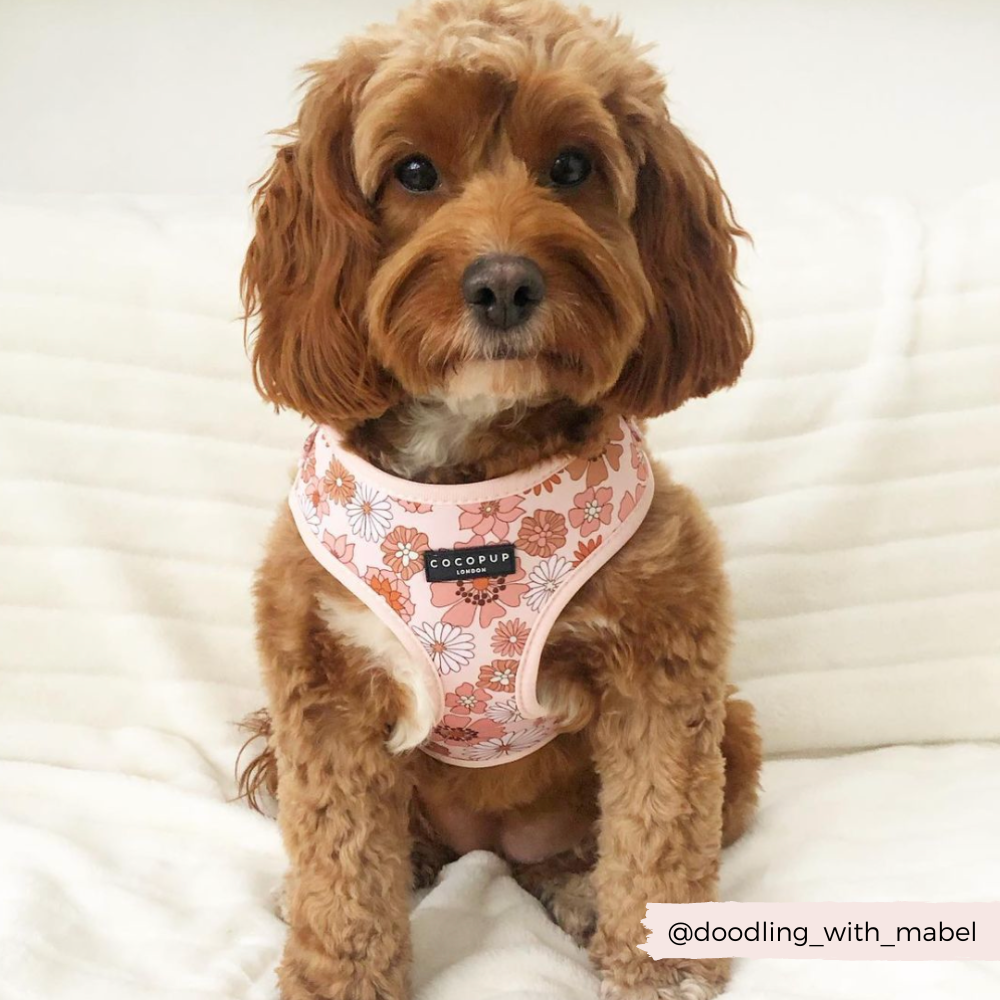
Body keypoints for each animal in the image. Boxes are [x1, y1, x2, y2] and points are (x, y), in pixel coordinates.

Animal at [238, 1, 760, 1000]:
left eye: (572, 166)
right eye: (413, 171)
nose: (505, 283)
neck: (470, 464)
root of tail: (494, 846)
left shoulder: (666, 659)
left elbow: (660, 833)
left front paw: (661, 965)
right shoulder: (323, 684)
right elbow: (340, 867)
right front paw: (335, 973)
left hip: (734, 732)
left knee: (593, 846)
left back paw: (579, 890)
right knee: (392, 844)